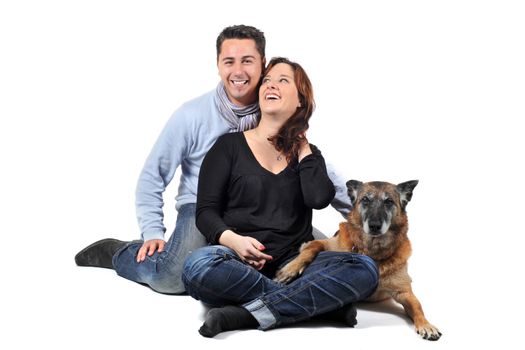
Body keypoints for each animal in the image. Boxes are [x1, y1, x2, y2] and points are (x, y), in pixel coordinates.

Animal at [276, 180, 440, 340]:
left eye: (389, 201)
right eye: (365, 199)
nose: (374, 226)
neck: (372, 253)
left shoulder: (404, 292)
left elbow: (417, 306)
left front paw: (426, 325)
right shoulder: (324, 243)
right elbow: (312, 247)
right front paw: (290, 269)